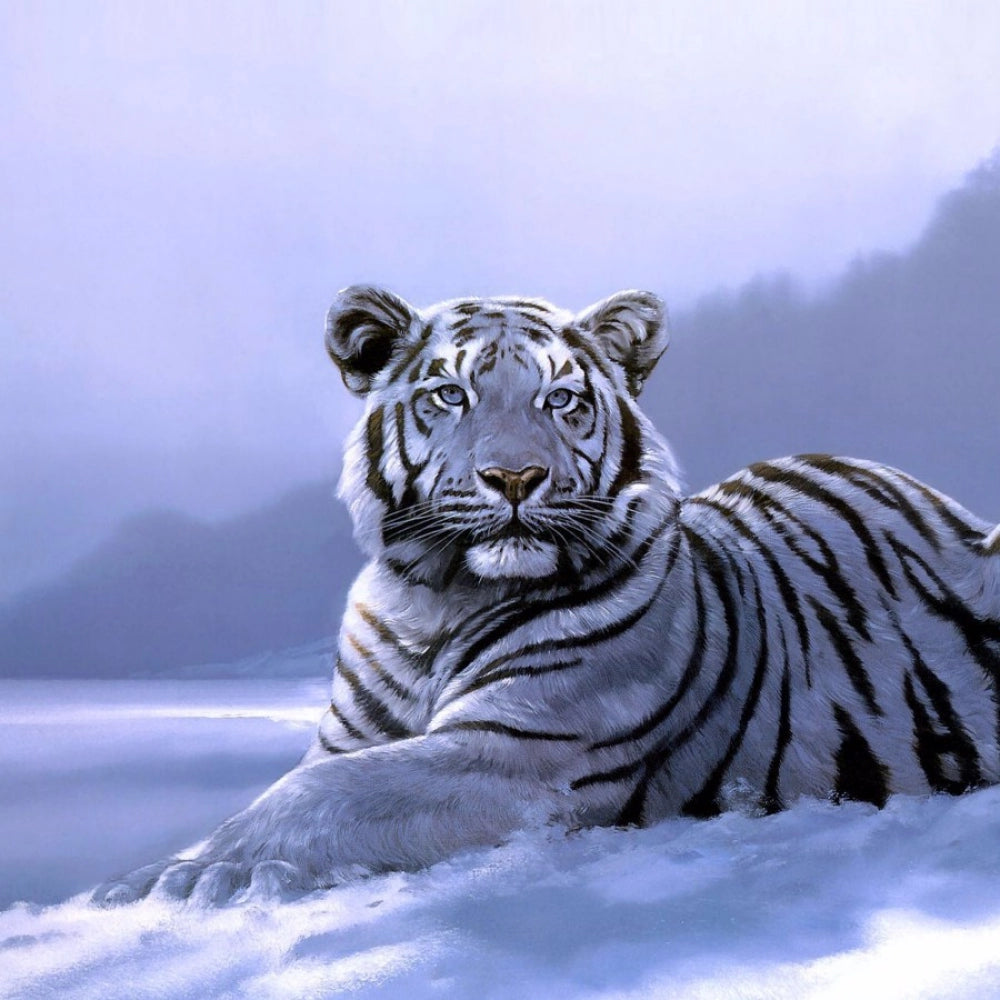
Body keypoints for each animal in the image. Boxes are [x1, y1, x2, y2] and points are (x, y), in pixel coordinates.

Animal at [93, 285, 1000, 906]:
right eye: (449, 394)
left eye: (559, 399)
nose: (515, 477)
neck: (438, 600)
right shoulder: (352, 736)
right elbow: (295, 787)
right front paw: (178, 869)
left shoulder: (520, 751)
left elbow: (314, 797)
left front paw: (171, 881)